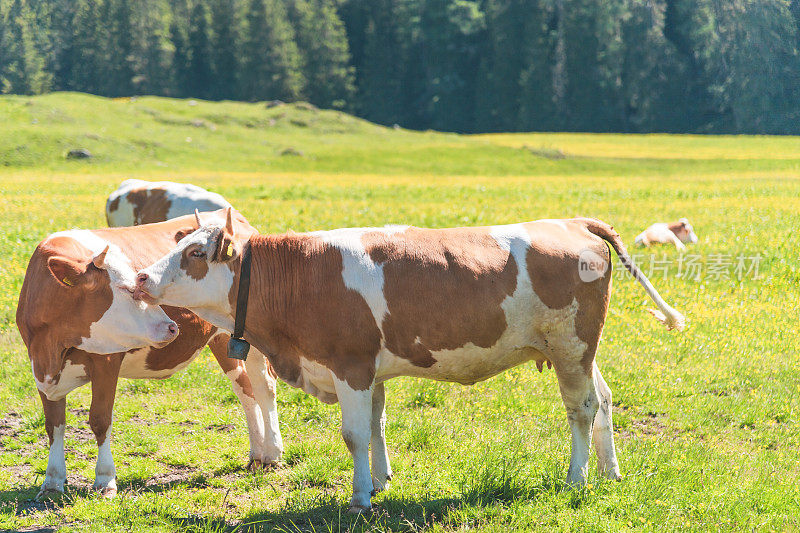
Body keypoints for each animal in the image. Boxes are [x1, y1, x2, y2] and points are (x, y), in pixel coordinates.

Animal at [15, 209, 284, 498]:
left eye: (137, 283)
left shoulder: (106, 361)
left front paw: (105, 480)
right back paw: (256, 454)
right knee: (245, 389)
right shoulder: (40, 369)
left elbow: (100, 419)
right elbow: (54, 424)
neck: (52, 346)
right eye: (126, 288)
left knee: (264, 386)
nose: (172, 326)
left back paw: (272, 453)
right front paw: (52, 481)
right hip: (226, 341)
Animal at [134, 208, 684, 512]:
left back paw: (577, 477)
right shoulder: (370, 370)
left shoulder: (351, 365)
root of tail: (571, 222)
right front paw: (380, 481)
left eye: (196, 254)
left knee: (581, 408)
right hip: (581, 350)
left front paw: (359, 497)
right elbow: (377, 425)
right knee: (604, 400)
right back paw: (610, 472)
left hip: (570, 347)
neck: (299, 276)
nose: (140, 277)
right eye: (180, 243)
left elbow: (354, 433)